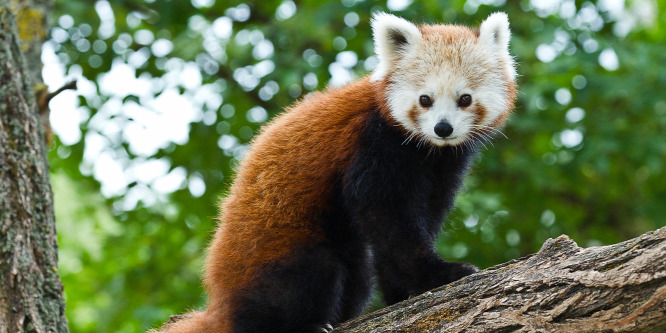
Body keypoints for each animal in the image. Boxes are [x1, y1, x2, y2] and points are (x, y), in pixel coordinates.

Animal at [154, 11, 512, 332]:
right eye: (425, 99)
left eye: (464, 99)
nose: (442, 128)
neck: (426, 150)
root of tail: (220, 303)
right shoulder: (373, 145)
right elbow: (388, 219)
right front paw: (437, 274)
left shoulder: (443, 166)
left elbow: (418, 219)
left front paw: (403, 291)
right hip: (275, 251)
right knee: (309, 274)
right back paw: (304, 324)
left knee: (358, 271)